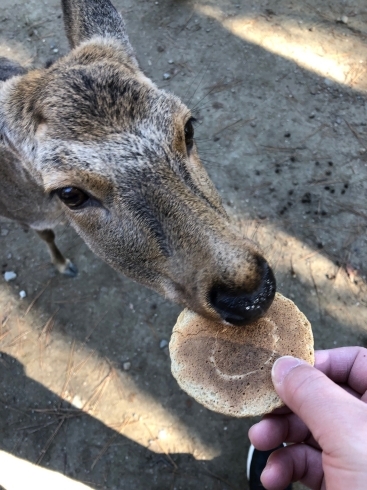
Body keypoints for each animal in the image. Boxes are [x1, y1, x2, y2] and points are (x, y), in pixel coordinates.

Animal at [0, 1, 276, 328]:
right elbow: (46, 234)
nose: (251, 295)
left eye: (188, 128)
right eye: (70, 193)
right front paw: (64, 265)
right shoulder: (27, 215)